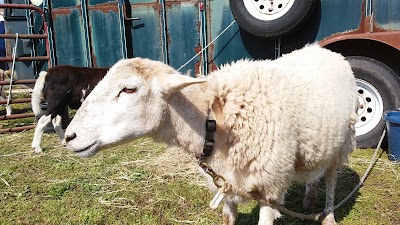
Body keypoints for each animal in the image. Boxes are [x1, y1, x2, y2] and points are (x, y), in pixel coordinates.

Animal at [65, 44, 356, 225]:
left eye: (129, 89)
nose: (69, 137)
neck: (214, 119)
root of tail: (321, 49)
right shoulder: (226, 181)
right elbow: (228, 217)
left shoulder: (270, 184)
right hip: (316, 143)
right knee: (313, 172)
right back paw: (308, 200)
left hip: (343, 140)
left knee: (331, 178)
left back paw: (328, 215)